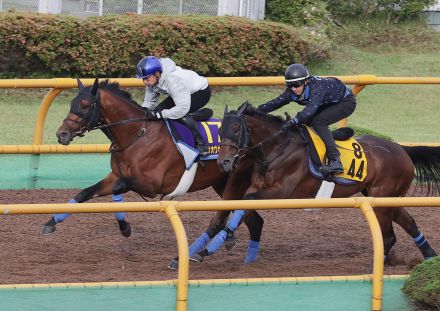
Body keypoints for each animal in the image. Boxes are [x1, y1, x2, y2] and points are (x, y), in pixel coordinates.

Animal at [211, 102, 440, 264]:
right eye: (220, 130)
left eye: (235, 128)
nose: (223, 162)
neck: (278, 147)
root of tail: (401, 149)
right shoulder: (258, 187)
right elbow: (242, 204)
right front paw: (225, 237)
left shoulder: (281, 192)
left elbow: (246, 201)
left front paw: (218, 241)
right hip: (386, 196)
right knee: (409, 223)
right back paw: (429, 256)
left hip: (382, 199)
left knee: (389, 236)